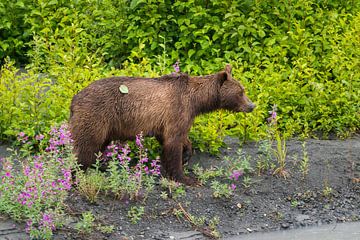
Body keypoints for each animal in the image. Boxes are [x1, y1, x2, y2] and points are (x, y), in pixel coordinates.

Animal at [69, 64, 255, 186]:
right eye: (241, 92)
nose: (252, 105)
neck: (197, 101)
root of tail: (75, 99)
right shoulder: (177, 109)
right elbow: (173, 142)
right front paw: (185, 177)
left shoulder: (169, 121)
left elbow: (177, 138)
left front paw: (186, 154)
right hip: (96, 116)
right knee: (85, 146)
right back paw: (76, 175)